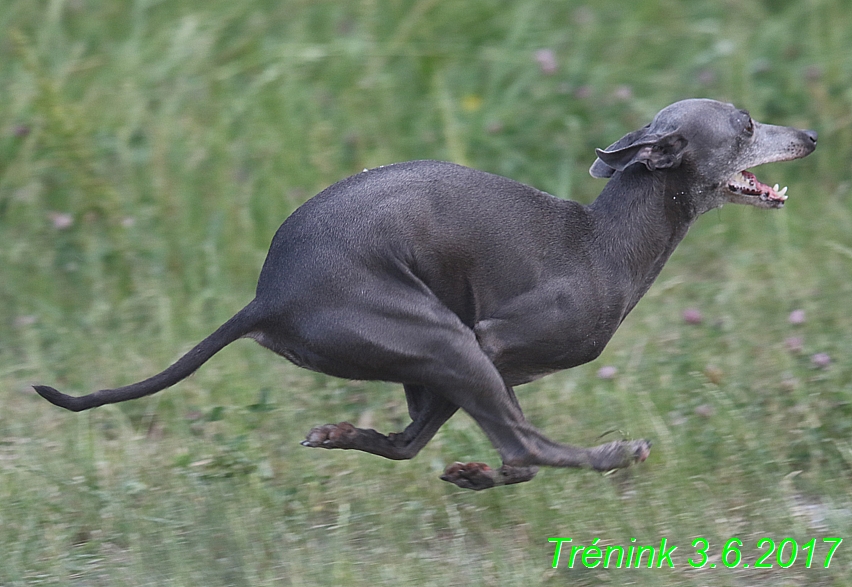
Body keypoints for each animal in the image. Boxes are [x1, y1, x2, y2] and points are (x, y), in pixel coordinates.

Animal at [36, 100, 816, 492]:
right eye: (747, 125)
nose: (809, 134)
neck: (604, 238)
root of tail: (269, 296)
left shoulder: (470, 366)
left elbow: (468, 447)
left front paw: (473, 473)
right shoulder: (491, 341)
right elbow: (518, 446)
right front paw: (501, 469)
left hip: (426, 350)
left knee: (414, 443)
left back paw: (350, 437)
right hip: (441, 339)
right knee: (525, 442)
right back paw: (613, 455)